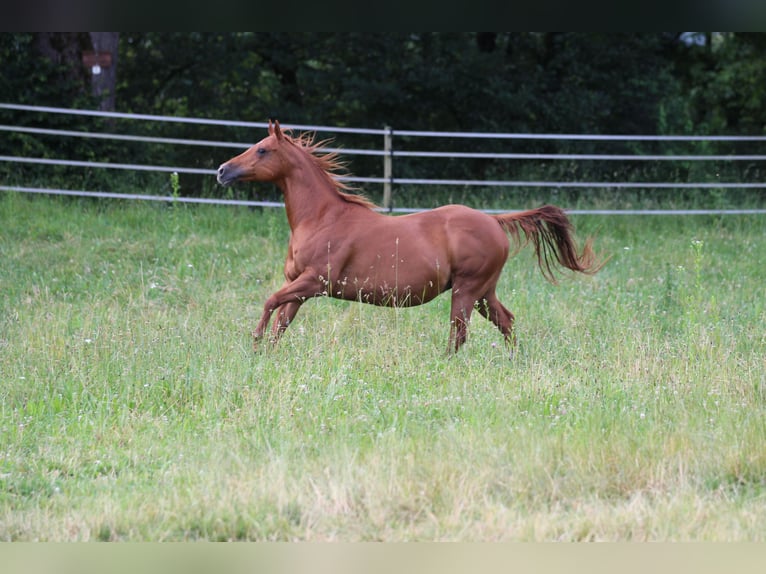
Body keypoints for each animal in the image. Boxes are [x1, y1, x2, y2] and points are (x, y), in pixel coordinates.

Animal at [217, 120, 603, 355]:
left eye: (263, 149)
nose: (222, 171)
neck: (322, 218)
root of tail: (495, 221)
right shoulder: (299, 286)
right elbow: (281, 321)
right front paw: (267, 354)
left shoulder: (315, 282)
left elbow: (270, 302)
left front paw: (253, 345)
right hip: (483, 291)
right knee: (505, 320)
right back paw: (513, 359)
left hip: (467, 290)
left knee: (459, 333)